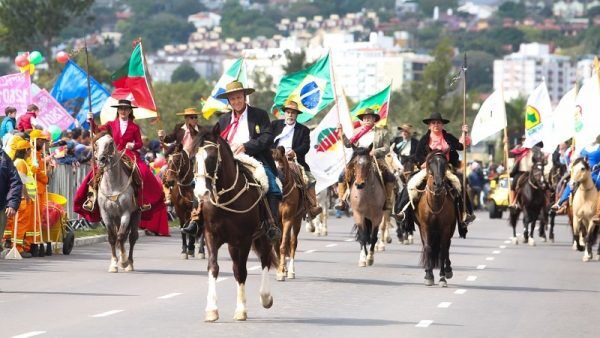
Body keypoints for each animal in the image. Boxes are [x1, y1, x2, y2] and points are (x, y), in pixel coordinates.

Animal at [193, 125, 276, 322]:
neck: (227, 199)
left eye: (212, 157)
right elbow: (213, 267)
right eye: (193, 157)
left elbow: (241, 271)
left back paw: (266, 297)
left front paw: (241, 310)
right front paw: (211, 309)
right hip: (232, 244)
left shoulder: (244, 239)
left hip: (263, 235)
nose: (201, 192)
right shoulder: (211, 236)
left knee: (265, 259)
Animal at [414, 152, 458, 286]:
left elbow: (443, 250)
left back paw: (448, 270)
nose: (438, 185)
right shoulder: (425, 227)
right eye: (429, 164)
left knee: (447, 246)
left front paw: (442, 277)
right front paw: (429, 275)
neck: (435, 204)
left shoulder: (445, 228)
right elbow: (428, 247)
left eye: (445, 164)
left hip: (451, 228)